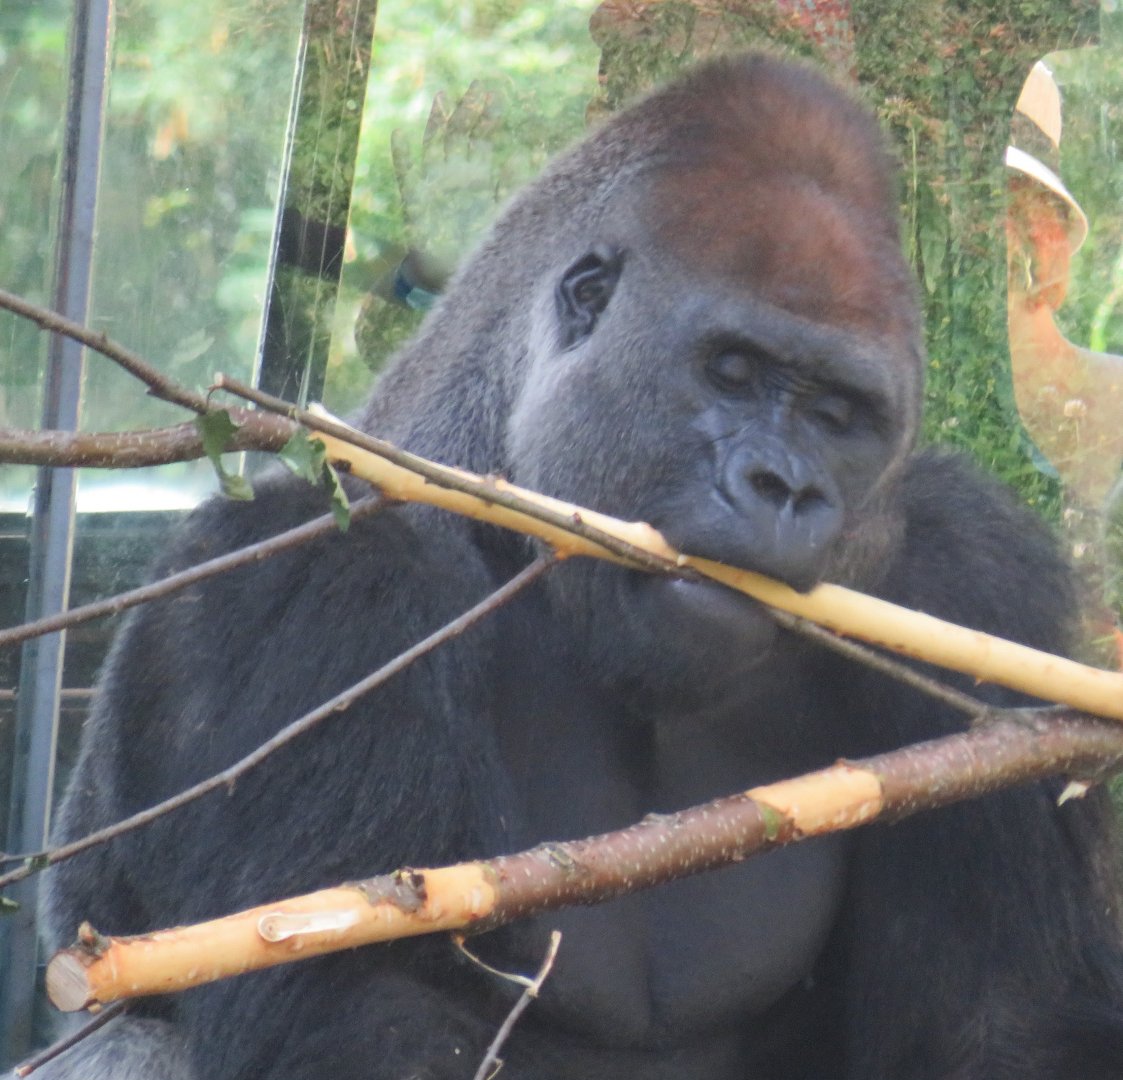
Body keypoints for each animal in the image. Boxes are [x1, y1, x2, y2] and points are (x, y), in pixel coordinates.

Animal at [33, 53, 1123, 1079]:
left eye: (836, 414)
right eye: (732, 371)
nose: (782, 486)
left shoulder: (968, 577)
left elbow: (1002, 1022)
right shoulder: (316, 575)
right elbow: (348, 1014)